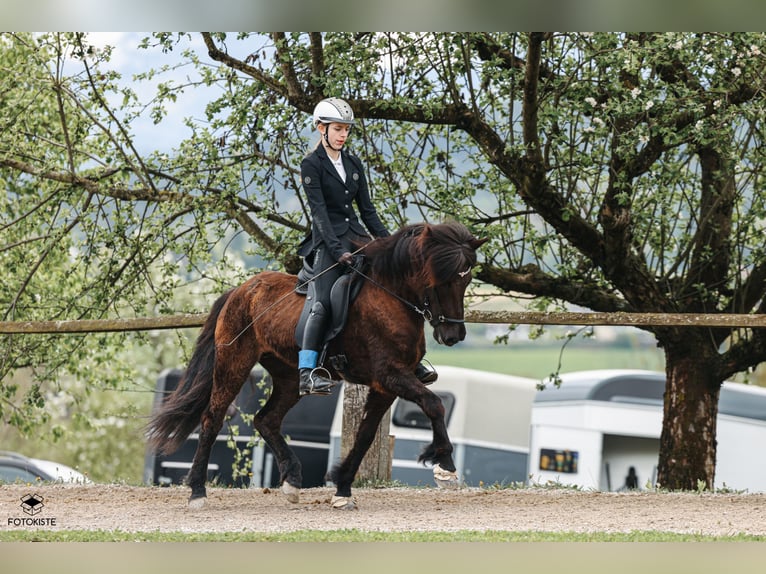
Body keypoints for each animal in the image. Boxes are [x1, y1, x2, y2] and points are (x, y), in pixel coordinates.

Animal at [146, 220, 487, 510]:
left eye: (468, 279)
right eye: (441, 279)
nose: (453, 335)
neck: (391, 297)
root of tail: (241, 290)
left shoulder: (385, 385)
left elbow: (365, 435)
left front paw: (343, 488)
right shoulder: (390, 375)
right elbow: (433, 404)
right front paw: (445, 467)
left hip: (287, 376)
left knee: (266, 420)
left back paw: (292, 481)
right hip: (234, 363)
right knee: (212, 419)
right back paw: (197, 492)